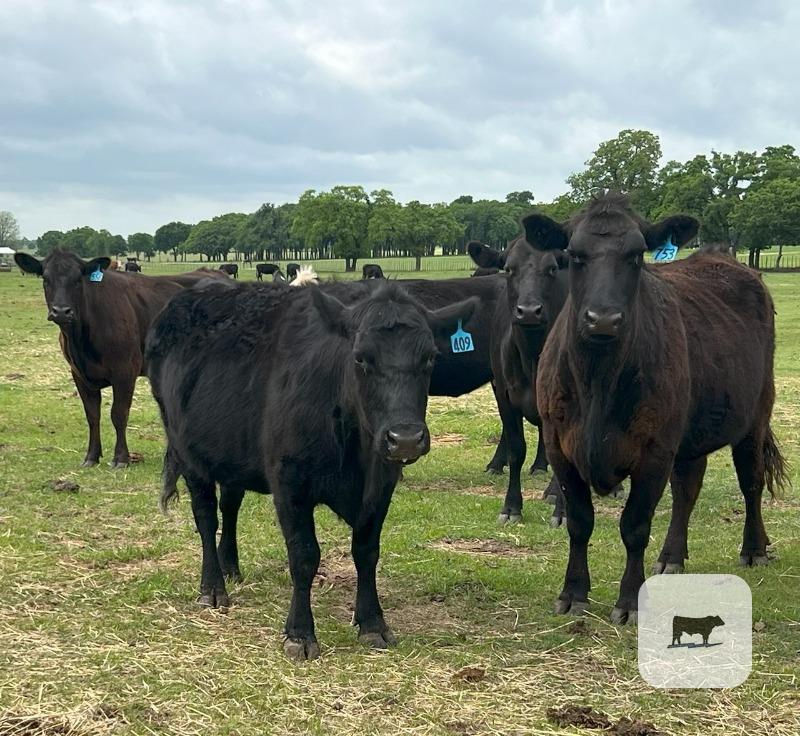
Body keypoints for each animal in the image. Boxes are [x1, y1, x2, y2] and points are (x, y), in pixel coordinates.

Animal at [13, 249, 228, 468]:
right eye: (46, 279)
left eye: (78, 280)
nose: (61, 311)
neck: (81, 341)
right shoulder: (79, 375)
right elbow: (92, 416)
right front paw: (91, 457)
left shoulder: (125, 371)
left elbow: (119, 414)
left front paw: (121, 458)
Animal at [147, 279, 477, 660]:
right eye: (360, 358)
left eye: (430, 357)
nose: (405, 439)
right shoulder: (290, 484)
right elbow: (304, 556)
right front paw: (300, 633)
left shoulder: (381, 484)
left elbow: (367, 552)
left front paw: (372, 623)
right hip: (188, 454)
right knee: (205, 516)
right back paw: (213, 588)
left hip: (232, 453)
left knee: (229, 507)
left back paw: (230, 566)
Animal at [468, 237, 569, 523]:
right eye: (509, 268)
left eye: (552, 268)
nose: (529, 311)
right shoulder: (504, 394)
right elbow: (516, 449)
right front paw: (511, 507)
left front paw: (562, 511)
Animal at [530, 192, 786, 624]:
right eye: (574, 255)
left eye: (636, 255)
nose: (603, 319)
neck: (598, 381)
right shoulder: (558, 443)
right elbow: (580, 522)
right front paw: (573, 592)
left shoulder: (654, 449)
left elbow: (635, 526)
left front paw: (630, 601)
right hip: (690, 433)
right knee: (687, 490)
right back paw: (672, 557)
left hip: (755, 416)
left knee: (750, 482)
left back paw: (754, 549)